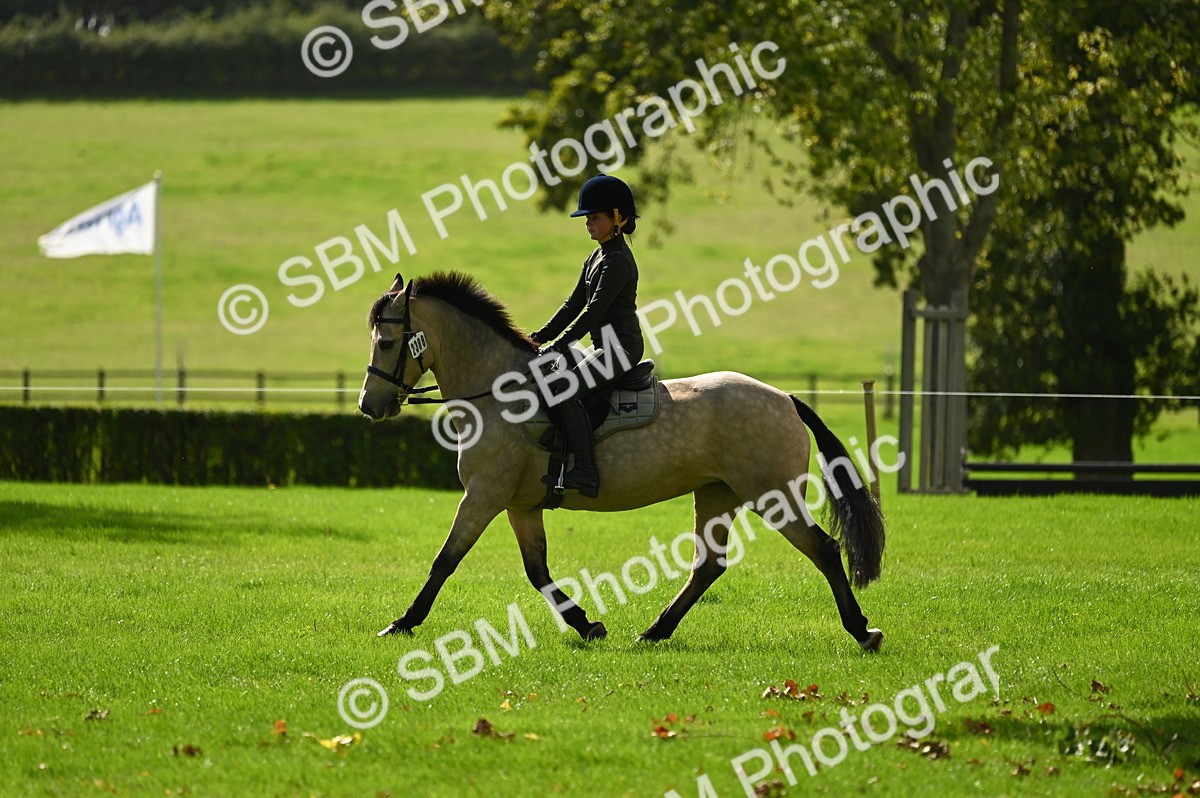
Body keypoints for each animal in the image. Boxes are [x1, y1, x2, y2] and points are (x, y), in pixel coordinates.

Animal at [358, 271, 886, 652]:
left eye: (387, 342)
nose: (369, 405)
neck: (498, 393)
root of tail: (785, 399)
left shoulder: (483, 495)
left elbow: (445, 561)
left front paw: (402, 623)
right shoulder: (519, 505)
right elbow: (537, 571)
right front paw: (586, 624)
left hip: (772, 495)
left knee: (823, 549)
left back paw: (862, 631)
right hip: (717, 494)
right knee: (708, 566)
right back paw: (655, 631)